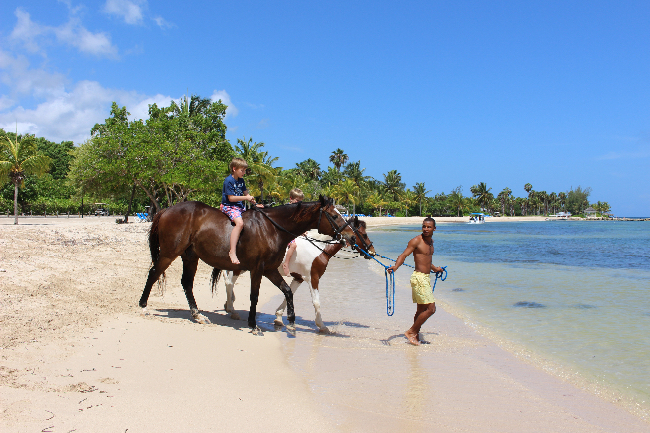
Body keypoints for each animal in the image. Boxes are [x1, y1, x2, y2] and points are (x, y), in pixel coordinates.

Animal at [138, 196, 364, 328]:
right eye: (335, 215)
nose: (351, 237)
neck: (273, 228)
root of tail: (167, 209)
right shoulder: (258, 269)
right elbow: (254, 296)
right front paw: (254, 324)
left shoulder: (271, 270)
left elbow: (287, 291)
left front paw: (290, 319)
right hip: (169, 253)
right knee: (153, 273)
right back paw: (143, 307)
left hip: (190, 256)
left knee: (186, 283)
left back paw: (198, 315)